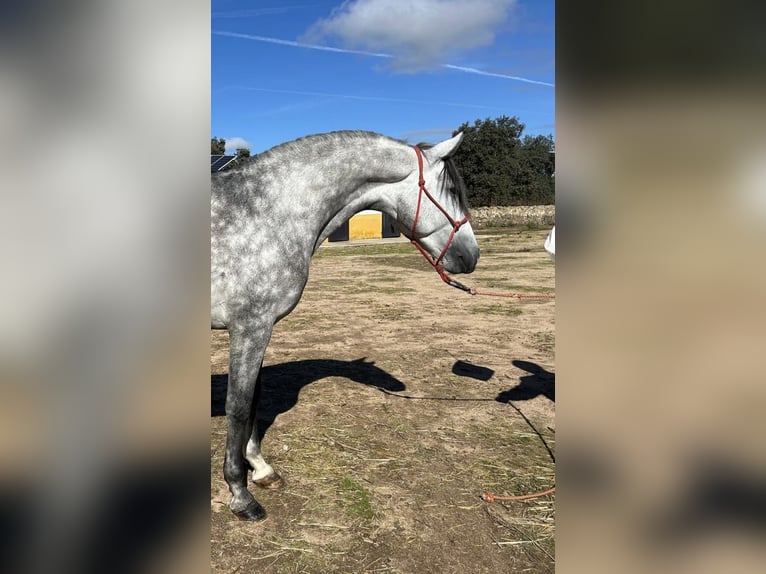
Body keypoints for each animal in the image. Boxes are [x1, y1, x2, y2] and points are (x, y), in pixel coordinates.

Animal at [212, 132, 480, 520]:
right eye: (452, 192)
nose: (471, 255)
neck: (267, 212)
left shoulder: (258, 329)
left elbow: (254, 400)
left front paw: (260, 469)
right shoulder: (250, 327)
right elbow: (238, 405)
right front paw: (240, 493)